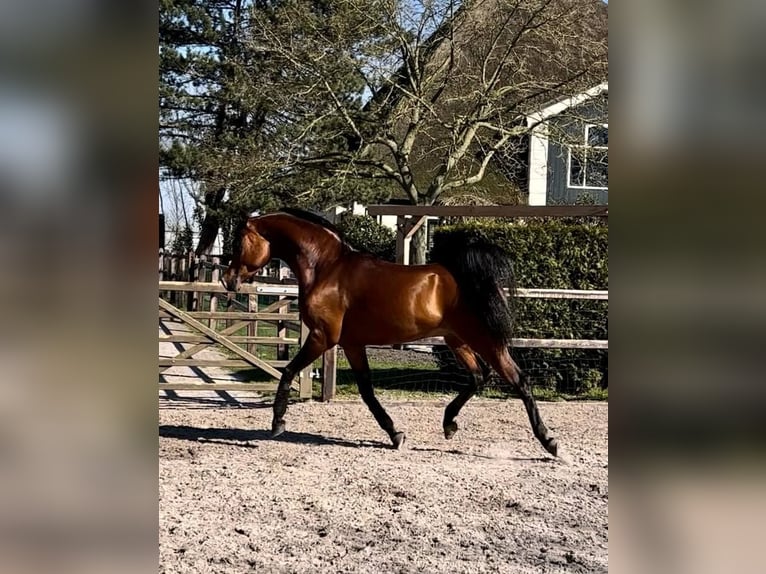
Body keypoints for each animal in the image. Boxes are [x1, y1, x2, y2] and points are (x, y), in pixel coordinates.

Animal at [222, 209, 560, 456]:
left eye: (238, 242)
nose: (228, 280)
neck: (327, 269)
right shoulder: (352, 344)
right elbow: (367, 391)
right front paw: (396, 434)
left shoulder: (322, 337)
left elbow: (289, 371)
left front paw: (277, 423)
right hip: (457, 340)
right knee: (479, 376)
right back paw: (449, 424)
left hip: (483, 339)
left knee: (518, 380)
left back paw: (550, 441)